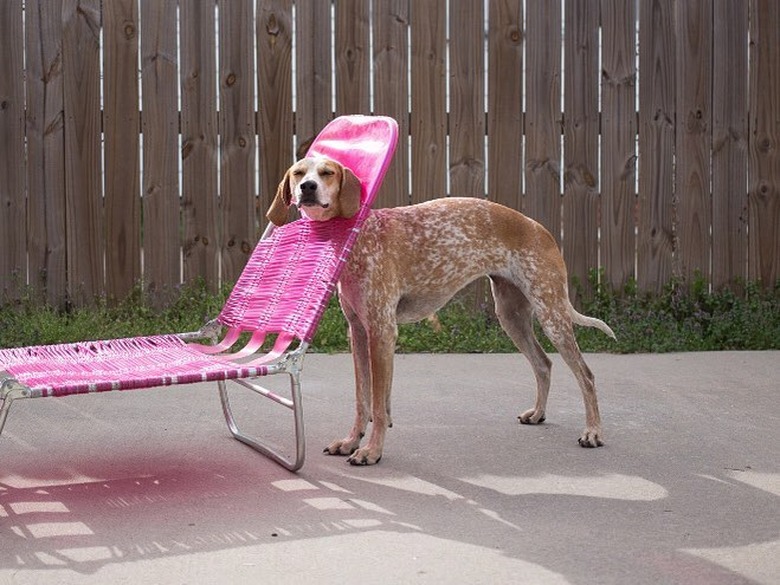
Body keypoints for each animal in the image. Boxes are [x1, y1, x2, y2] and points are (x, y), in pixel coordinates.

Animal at [268, 155, 616, 466]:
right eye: (299, 172)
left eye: (327, 172)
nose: (307, 187)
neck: (358, 235)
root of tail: (541, 229)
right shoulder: (358, 333)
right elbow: (362, 401)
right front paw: (352, 441)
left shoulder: (382, 332)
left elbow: (377, 406)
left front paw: (372, 451)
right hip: (512, 316)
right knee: (543, 364)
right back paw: (539, 413)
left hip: (552, 315)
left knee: (586, 375)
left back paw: (594, 432)